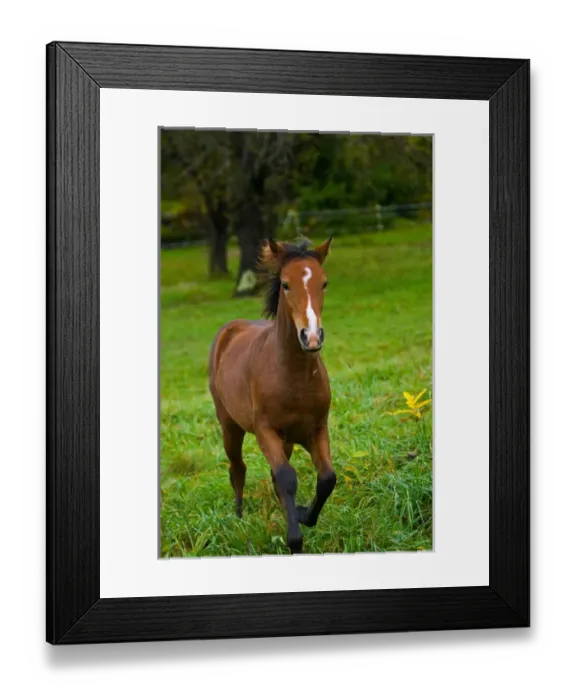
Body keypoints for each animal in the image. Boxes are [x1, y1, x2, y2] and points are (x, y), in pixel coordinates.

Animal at [208, 236, 336, 554]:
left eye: (324, 283)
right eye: (286, 284)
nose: (311, 337)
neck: (294, 375)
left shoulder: (316, 429)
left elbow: (326, 478)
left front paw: (302, 515)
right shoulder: (265, 431)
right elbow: (287, 478)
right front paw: (295, 541)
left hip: (287, 439)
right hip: (230, 426)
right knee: (238, 468)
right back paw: (239, 517)